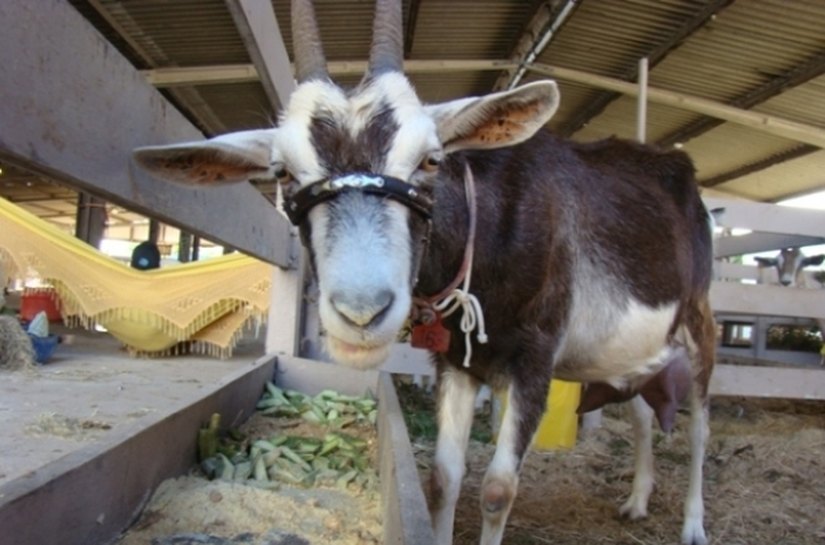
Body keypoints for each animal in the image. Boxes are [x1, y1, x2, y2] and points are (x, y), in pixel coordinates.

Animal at [132, 1, 716, 543]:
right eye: (281, 172)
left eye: (431, 159)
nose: (361, 313)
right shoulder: (458, 360)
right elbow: (443, 477)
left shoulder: (536, 355)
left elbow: (498, 489)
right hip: (634, 351)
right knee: (641, 410)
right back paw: (636, 500)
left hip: (699, 323)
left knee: (699, 427)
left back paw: (692, 525)